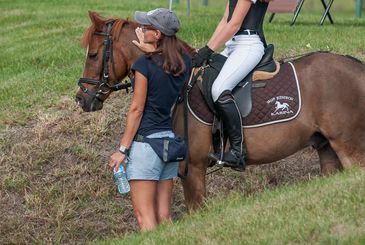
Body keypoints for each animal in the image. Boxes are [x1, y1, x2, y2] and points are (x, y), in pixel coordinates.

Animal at [76, 11, 364, 210]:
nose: (81, 98)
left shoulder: (193, 168)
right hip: (326, 148)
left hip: (349, 147)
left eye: (93, 55)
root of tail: (357, 67)